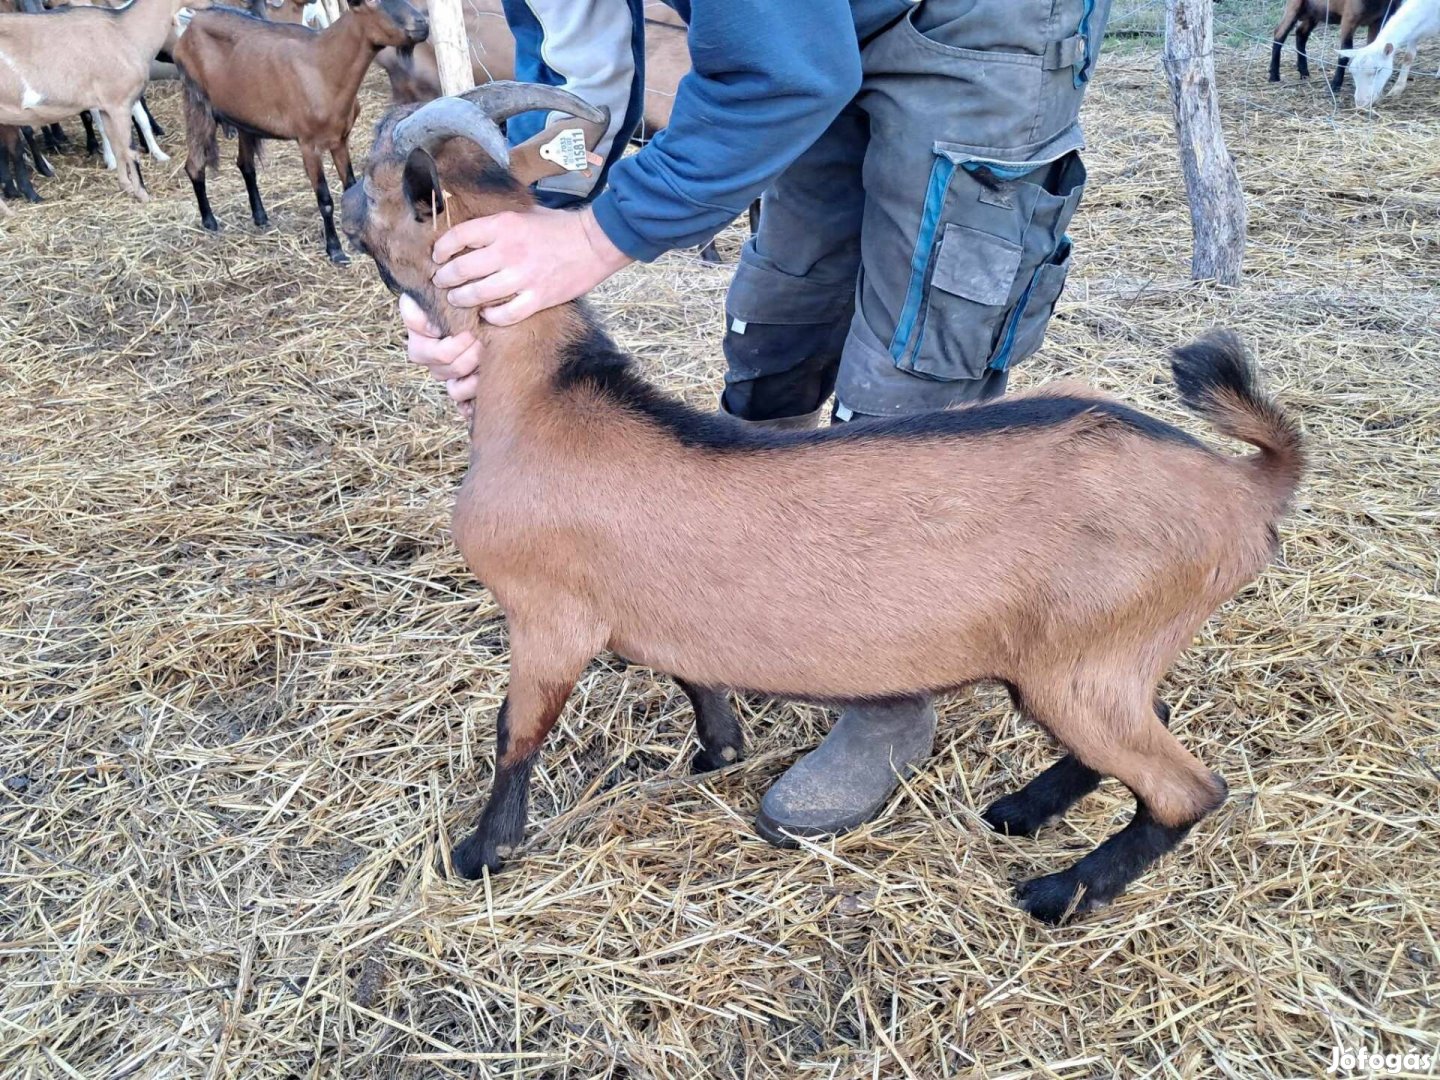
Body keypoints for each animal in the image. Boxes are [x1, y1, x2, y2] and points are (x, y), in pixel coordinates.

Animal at [339, 86, 1307, 933]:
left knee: (1189, 789)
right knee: (1153, 736)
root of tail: (1239, 483)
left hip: (1082, 664)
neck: (547, 397)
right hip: (1106, 663)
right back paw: (1023, 809)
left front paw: (481, 853)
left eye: (383, 180)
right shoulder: (662, 610)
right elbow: (694, 672)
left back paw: (1059, 890)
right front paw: (717, 752)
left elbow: (518, 732)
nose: (342, 205)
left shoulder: (547, 618)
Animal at [1267, 0, 1399, 88]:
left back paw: (1304, 73)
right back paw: (1274, 76)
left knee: (1301, 33)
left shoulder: (1377, 21)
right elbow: (1344, 53)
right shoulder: (1348, 18)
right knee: (1280, 33)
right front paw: (1335, 85)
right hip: (1295, 6)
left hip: (1314, 11)